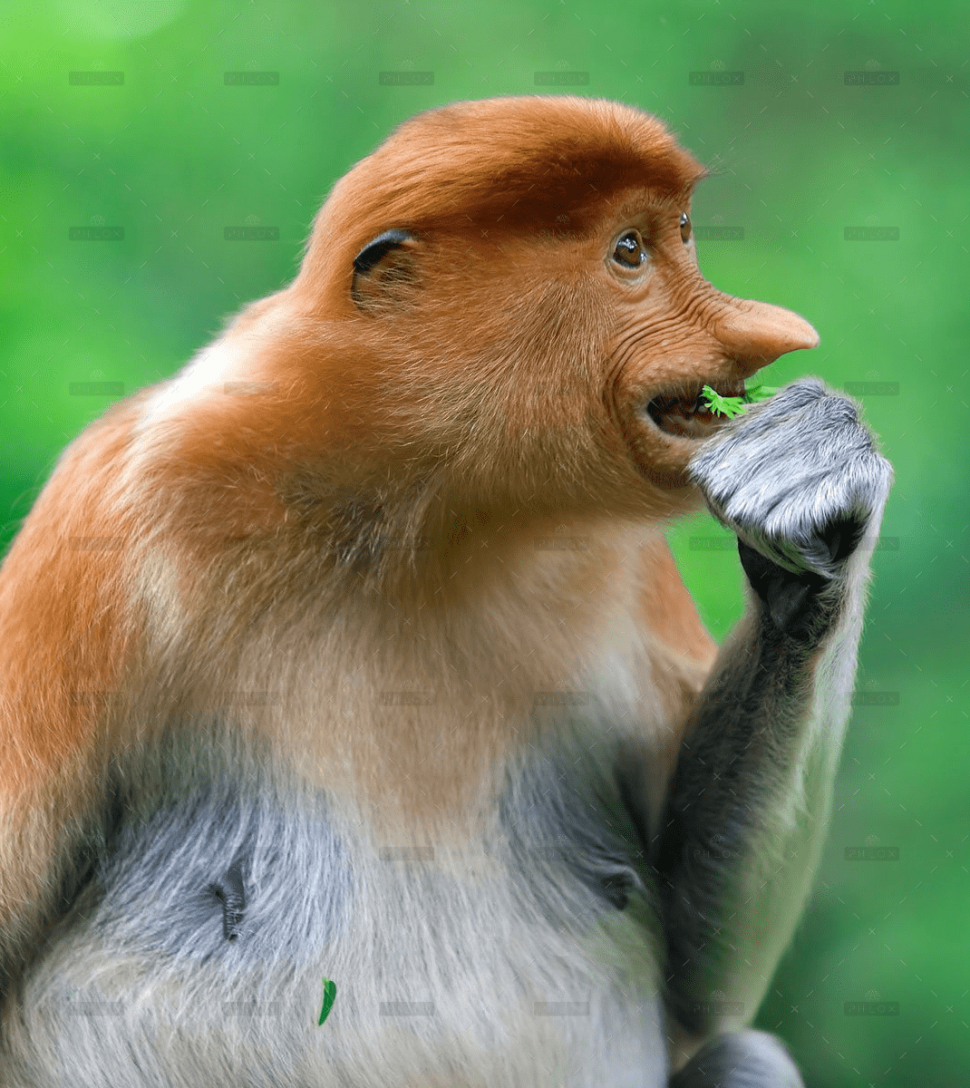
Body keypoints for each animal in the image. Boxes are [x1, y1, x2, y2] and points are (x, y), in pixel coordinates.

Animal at [0, 95, 891, 1087]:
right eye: (630, 251)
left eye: (685, 234)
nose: (774, 335)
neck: (421, 515)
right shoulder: (110, 520)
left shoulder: (625, 563)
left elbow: (707, 984)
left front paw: (812, 485)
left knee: (742, 1051)